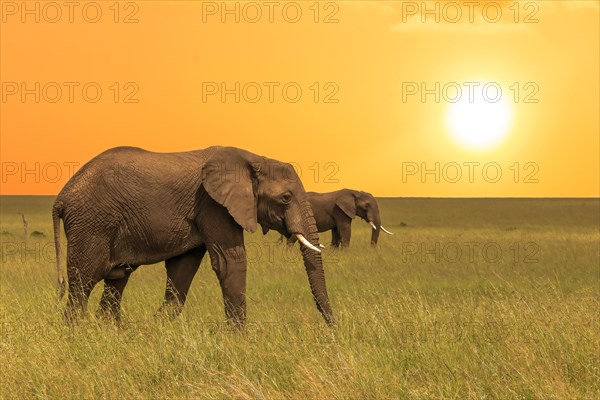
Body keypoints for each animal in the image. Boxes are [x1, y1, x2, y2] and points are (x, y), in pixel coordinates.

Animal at [52, 145, 336, 326]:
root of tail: (62, 197)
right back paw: (76, 333)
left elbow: (182, 268)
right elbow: (230, 261)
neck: (254, 159)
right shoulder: (214, 205)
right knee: (84, 280)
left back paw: (110, 331)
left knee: (117, 279)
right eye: (286, 198)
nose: (333, 329)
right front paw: (240, 340)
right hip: (92, 224)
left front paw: (156, 329)